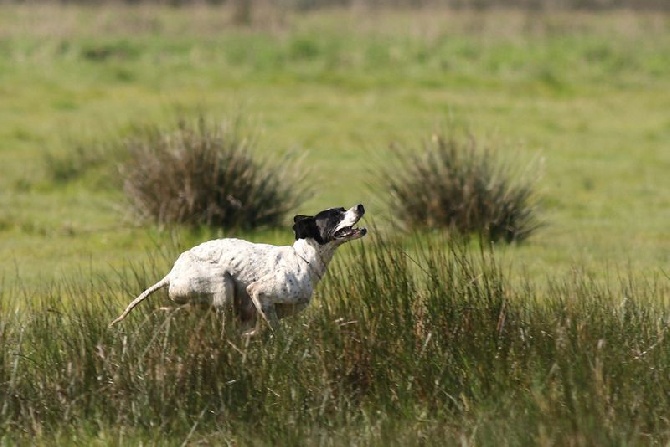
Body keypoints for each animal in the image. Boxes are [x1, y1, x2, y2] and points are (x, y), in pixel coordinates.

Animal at [109, 205, 368, 334]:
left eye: (343, 208)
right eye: (336, 215)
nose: (360, 206)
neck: (302, 259)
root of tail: (173, 272)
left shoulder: (255, 314)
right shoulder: (259, 293)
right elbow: (277, 333)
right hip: (222, 284)